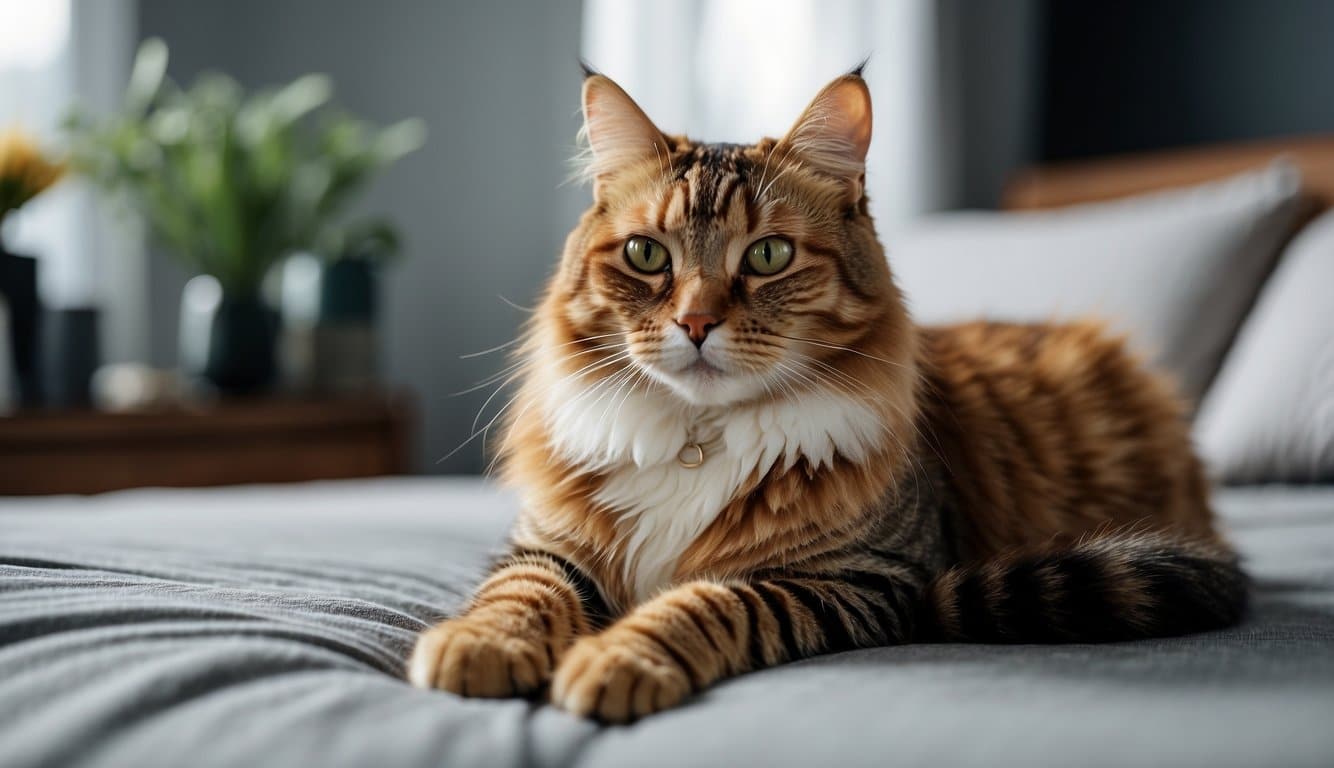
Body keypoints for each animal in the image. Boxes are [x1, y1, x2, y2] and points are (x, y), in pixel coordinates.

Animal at [405, 66, 1248, 720]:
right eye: (646, 255)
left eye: (768, 255)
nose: (695, 322)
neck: (701, 435)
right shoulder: (546, 544)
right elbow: (520, 593)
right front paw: (476, 648)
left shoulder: (850, 579)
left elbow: (703, 603)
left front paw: (618, 662)